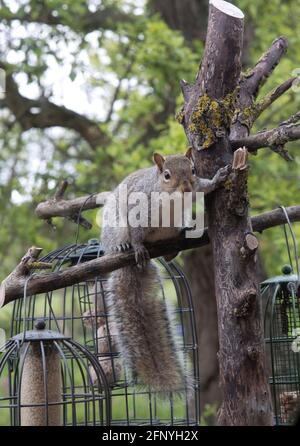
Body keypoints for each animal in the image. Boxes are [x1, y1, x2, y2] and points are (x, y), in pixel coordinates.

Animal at [101, 149, 230, 390]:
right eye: (167, 175)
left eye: (193, 170)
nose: (186, 188)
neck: (172, 199)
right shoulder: (141, 209)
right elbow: (136, 230)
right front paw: (138, 247)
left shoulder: (195, 189)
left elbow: (204, 186)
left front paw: (218, 179)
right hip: (115, 229)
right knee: (119, 240)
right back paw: (123, 247)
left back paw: (178, 242)